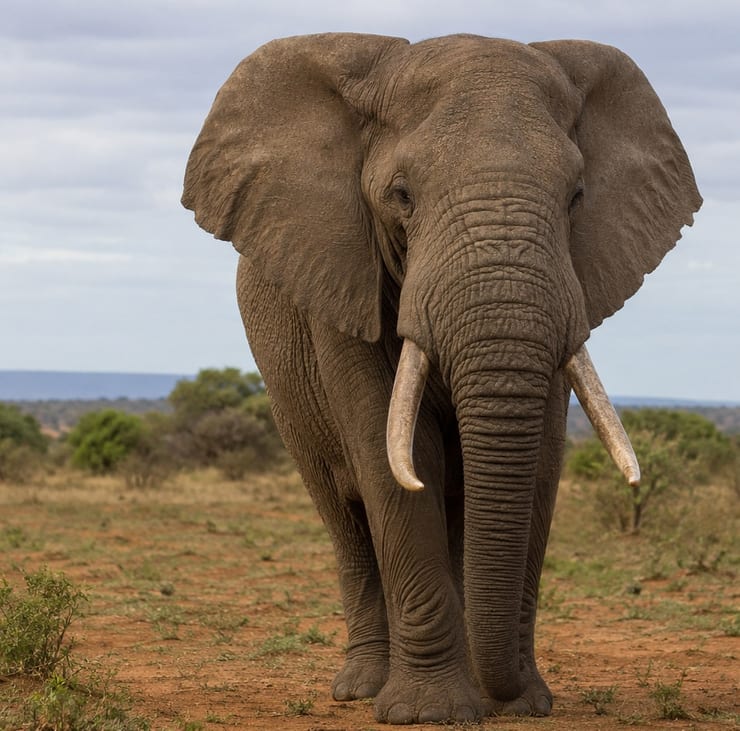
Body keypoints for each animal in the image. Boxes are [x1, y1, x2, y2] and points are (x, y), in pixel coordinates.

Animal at [182, 33, 701, 724]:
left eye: (576, 196)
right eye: (401, 195)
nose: (509, 692)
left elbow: (541, 463)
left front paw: (524, 702)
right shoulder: (342, 279)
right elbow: (390, 460)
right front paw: (430, 712)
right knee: (345, 517)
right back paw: (362, 687)